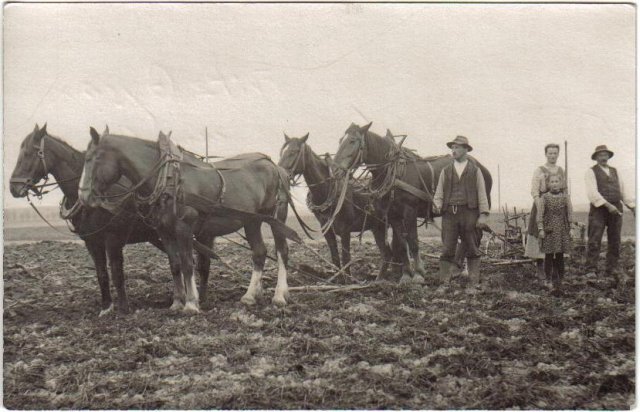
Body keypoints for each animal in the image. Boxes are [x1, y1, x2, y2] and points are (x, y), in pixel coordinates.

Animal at [9, 124, 166, 318]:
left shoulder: (113, 239)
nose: (13, 188)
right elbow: (101, 274)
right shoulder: (92, 241)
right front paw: (106, 307)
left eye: (30, 153)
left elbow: (117, 273)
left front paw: (124, 309)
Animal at [79, 129, 300, 312]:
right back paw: (251, 295)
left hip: (275, 216)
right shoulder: (165, 230)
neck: (168, 178)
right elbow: (175, 264)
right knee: (259, 252)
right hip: (251, 221)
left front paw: (192, 303)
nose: (83, 197)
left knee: (281, 251)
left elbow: (187, 263)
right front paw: (177, 302)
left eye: (93, 158)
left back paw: (279, 295)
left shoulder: (184, 227)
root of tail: (274, 165)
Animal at [278, 134, 396, 278]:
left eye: (293, 152)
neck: (328, 190)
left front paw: (348, 280)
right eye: (282, 152)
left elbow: (346, 259)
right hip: (377, 227)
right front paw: (338, 279)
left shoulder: (345, 231)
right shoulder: (327, 230)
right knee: (387, 254)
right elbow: (335, 258)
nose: (279, 174)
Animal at [332, 122, 492, 282]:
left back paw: (461, 269)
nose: (334, 170)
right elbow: (403, 244)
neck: (395, 172)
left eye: (352, 141)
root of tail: (482, 167)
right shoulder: (393, 215)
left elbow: (413, 241)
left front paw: (419, 272)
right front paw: (406, 273)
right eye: (340, 140)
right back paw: (456, 269)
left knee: (472, 236)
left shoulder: (410, 211)